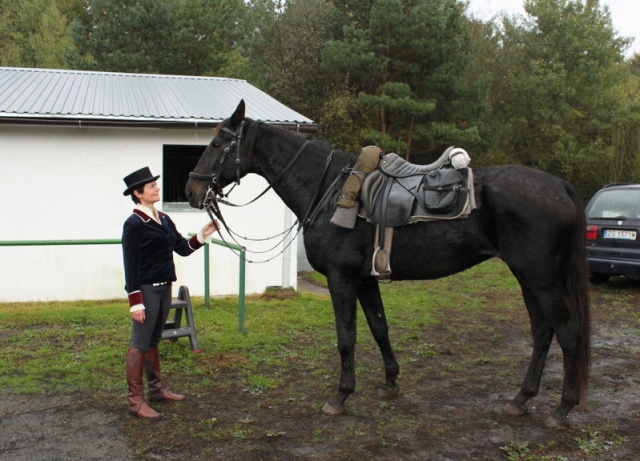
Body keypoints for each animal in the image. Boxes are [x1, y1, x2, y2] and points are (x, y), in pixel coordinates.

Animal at [185, 100, 592, 428]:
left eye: (219, 143)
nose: (191, 190)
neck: (328, 189)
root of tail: (560, 186)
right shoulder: (366, 280)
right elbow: (380, 329)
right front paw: (391, 382)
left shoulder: (341, 279)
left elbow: (346, 338)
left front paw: (341, 396)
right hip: (528, 280)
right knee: (542, 333)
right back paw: (521, 399)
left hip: (544, 281)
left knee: (569, 335)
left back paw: (562, 410)